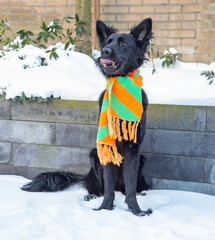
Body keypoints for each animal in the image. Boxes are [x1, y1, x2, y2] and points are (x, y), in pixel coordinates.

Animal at [21, 18, 153, 217]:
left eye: (123, 44)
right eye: (108, 42)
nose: (105, 51)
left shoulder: (133, 149)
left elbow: (130, 187)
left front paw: (136, 211)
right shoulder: (106, 147)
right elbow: (108, 186)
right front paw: (104, 209)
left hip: (142, 160)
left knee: (128, 188)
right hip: (94, 155)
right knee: (98, 187)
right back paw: (91, 196)